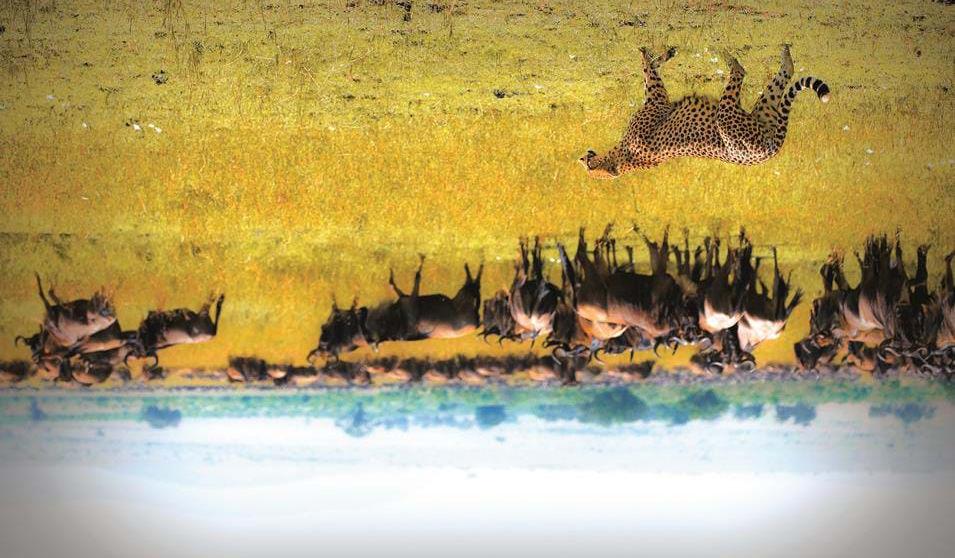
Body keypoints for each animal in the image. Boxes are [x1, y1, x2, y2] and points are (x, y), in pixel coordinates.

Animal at [584, 47, 828, 182]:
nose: (584, 156)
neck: (625, 159)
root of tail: (772, 149)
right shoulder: (658, 100)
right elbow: (650, 72)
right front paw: (653, 56)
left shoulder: (657, 99)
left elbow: (649, 71)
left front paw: (654, 55)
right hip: (735, 115)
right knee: (745, 72)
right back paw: (737, 59)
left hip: (747, 114)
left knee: (766, 73)